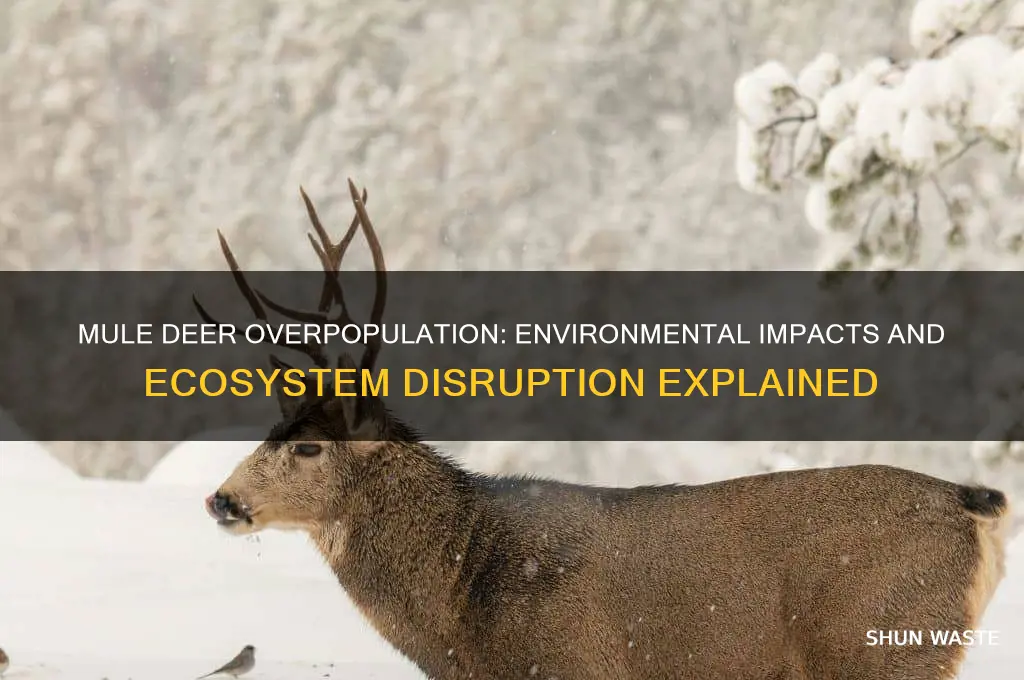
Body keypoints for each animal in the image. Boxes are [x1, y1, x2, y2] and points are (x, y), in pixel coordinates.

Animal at [196, 178, 1010, 680]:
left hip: (882, 640)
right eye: (269, 427)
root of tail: (974, 503)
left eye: (309, 444)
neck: (463, 605)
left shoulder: (572, 661)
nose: (221, 499)